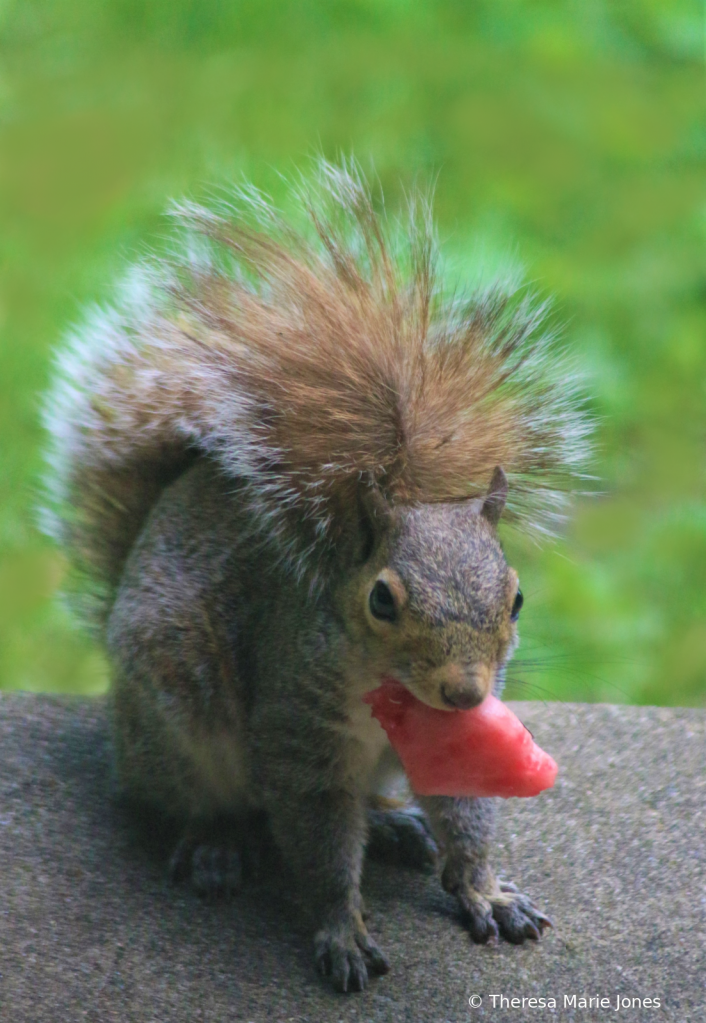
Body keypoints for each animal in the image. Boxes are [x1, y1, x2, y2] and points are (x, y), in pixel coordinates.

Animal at [43, 163, 589, 994]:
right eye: (381, 599)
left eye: (517, 596)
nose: (464, 691)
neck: (384, 689)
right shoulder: (298, 728)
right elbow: (320, 843)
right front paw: (342, 930)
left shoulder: (452, 738)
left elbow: (463, 810)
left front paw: (485, 888)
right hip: (173, 717)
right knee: (191, 797)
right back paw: (216, 841)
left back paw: (393, 820)